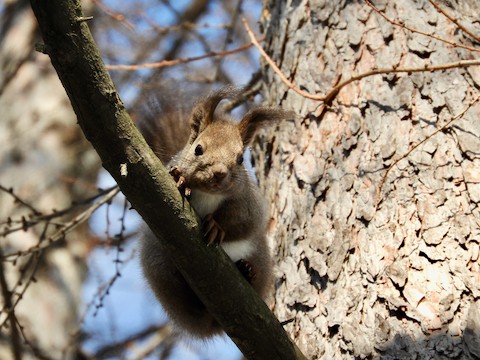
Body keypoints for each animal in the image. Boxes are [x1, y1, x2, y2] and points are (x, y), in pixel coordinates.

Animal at [137, 85, 290, 338]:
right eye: (198, 149)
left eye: (240, 158)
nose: (219, 173)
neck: (208, 193)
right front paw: (180, 179)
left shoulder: (248, 202)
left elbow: (244, 222)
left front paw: (217, 227)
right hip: (160, 267)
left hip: (260, 256)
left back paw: (248, 271)